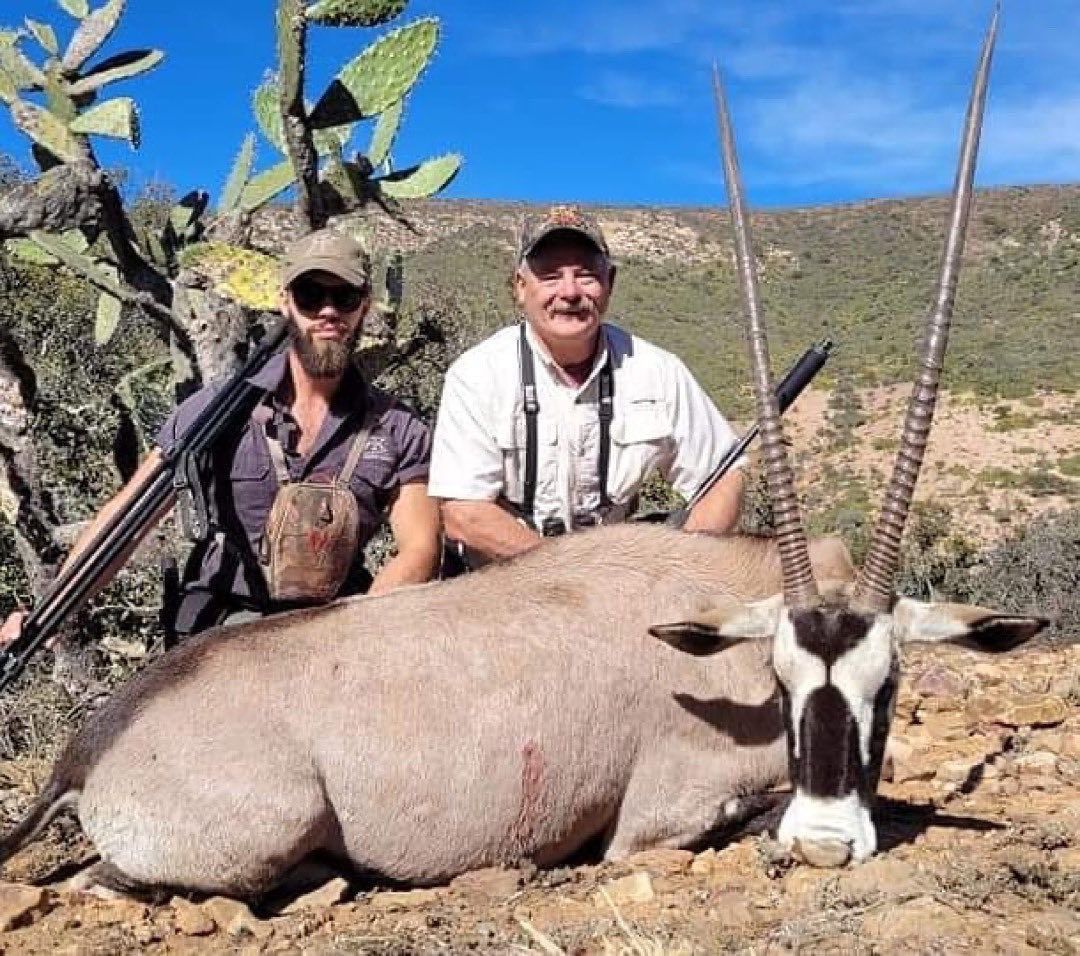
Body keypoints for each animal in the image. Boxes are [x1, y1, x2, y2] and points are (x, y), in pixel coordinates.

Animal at [0, 8, 1044, 901]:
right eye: (783, 682)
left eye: (889, 684)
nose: (827, 844)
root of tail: (87, 750)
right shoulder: (659, 818)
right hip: (263, 831)